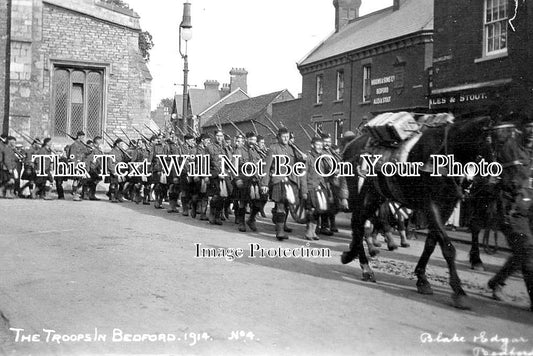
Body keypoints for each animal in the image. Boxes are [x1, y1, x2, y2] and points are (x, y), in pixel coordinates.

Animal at [342, 116, 492, 308]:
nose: (483, 184)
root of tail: (351, 144)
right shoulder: (430, 204)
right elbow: (447, 246)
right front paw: (459, 291)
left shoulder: (446, 207)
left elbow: (432, 242)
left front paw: (422, 278)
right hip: (361, 194)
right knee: (359, 223)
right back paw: (365, 266)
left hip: (376, 195)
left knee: (361, 223)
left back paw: (357, 255)